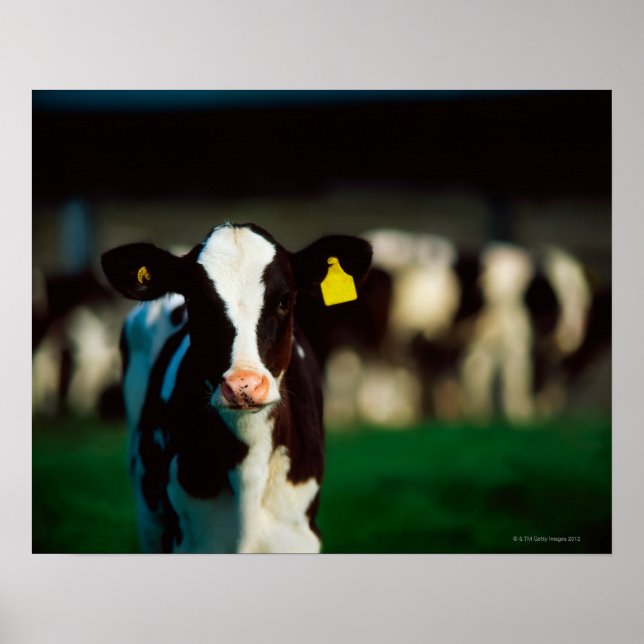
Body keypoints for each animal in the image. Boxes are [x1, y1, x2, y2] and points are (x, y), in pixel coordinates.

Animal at [101, 222, 372, 553]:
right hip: (148, 518)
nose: (244, 384)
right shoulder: (184, 539)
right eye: (198, 303)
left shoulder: (298, 536)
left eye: (283, 300)